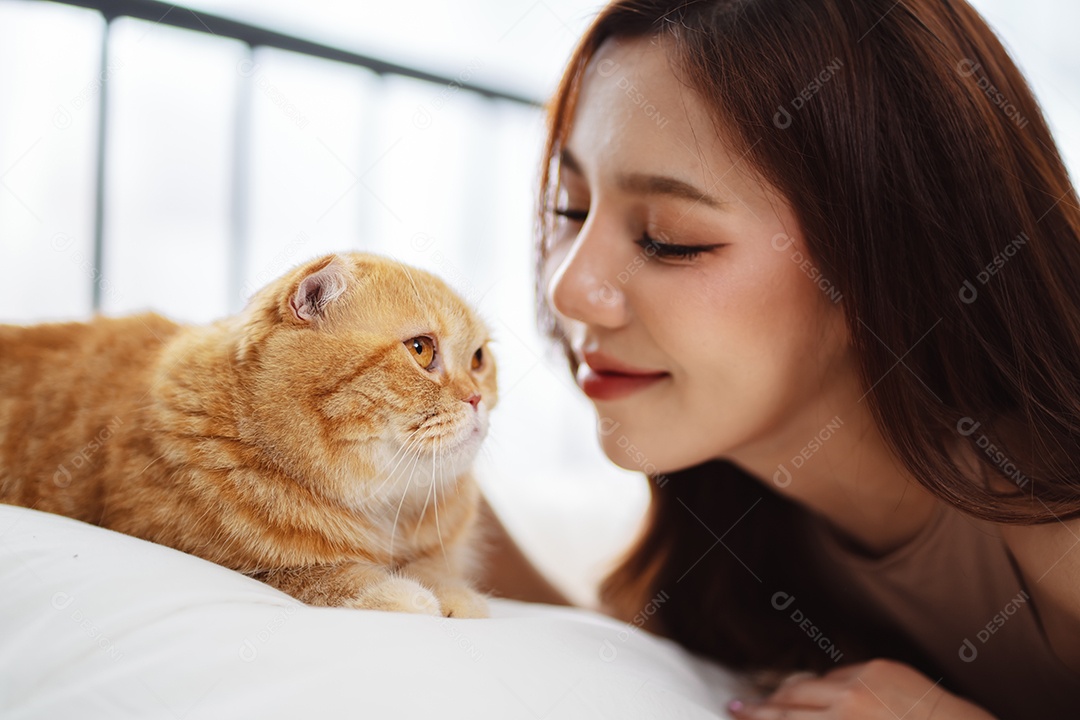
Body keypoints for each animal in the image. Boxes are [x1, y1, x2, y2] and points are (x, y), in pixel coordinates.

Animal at [0, 250, 496, 617]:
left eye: (478, 359)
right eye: (421, 349)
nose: (477, 398)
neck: (388, 514)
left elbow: (440, 573)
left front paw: (452, 594)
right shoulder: (232, 564)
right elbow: (323, 578)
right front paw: (407, 594)